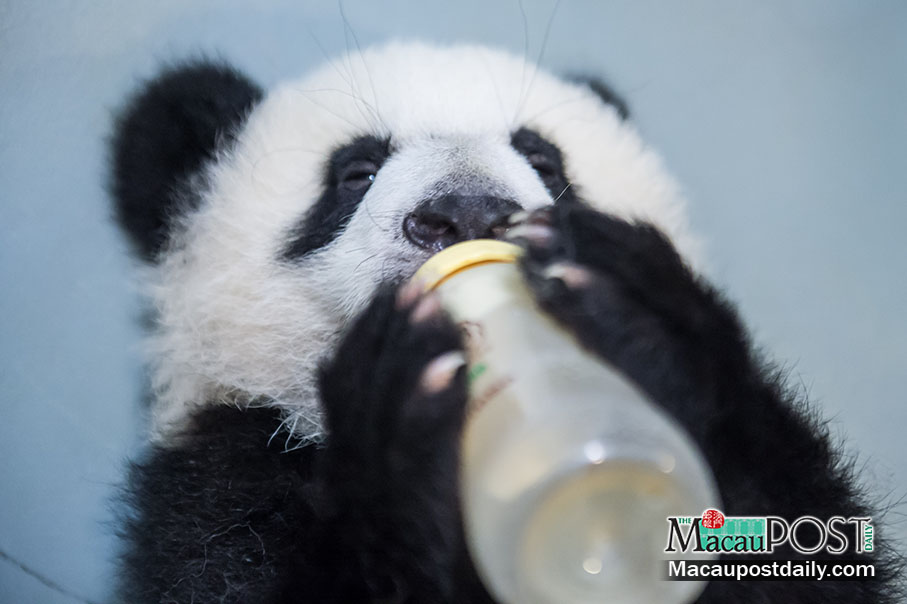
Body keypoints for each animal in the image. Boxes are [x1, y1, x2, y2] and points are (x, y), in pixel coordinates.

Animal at [110, 42, 899, 603]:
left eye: (544, 160)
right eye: (355, 172)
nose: (468, 212)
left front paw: (645, 329)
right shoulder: (220, 477)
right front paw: (396, 425)